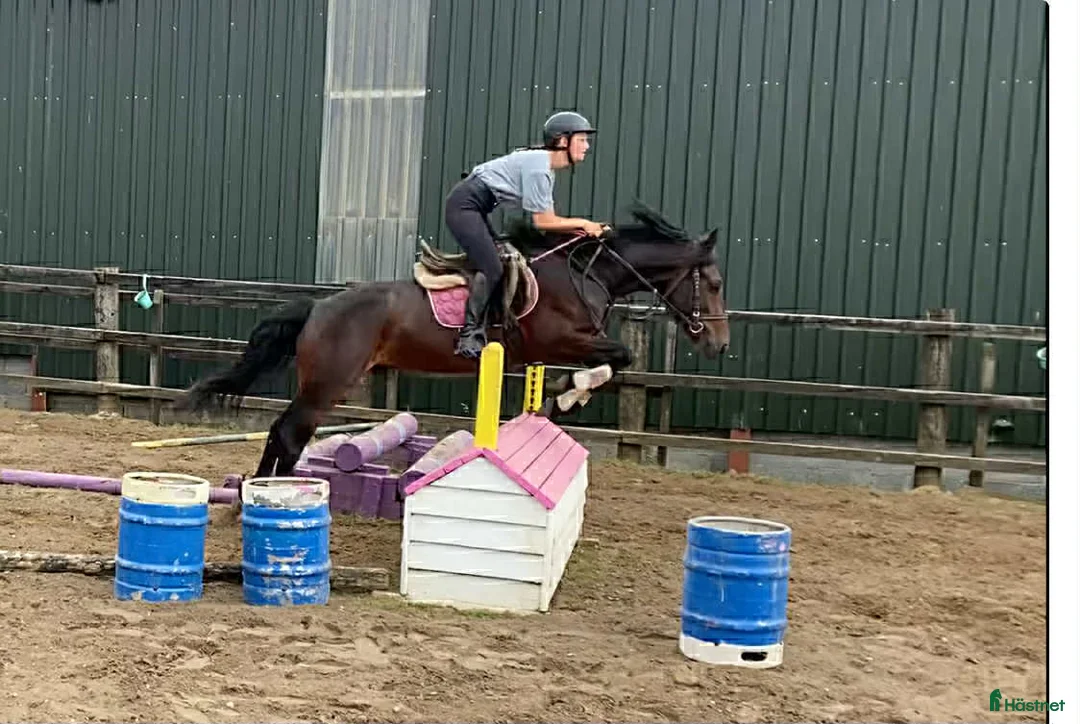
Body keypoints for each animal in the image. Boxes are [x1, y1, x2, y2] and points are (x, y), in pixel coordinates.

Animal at [177, 202, 730, 485]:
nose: (719, 345)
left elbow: (617, 362)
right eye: (716, 283)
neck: (583, 272)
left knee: (281, 431)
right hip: (330, 381)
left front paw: (562, 397)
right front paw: (567, 395)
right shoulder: (564, 340)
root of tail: (318, 308)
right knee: (291, 432)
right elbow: (619, 356)